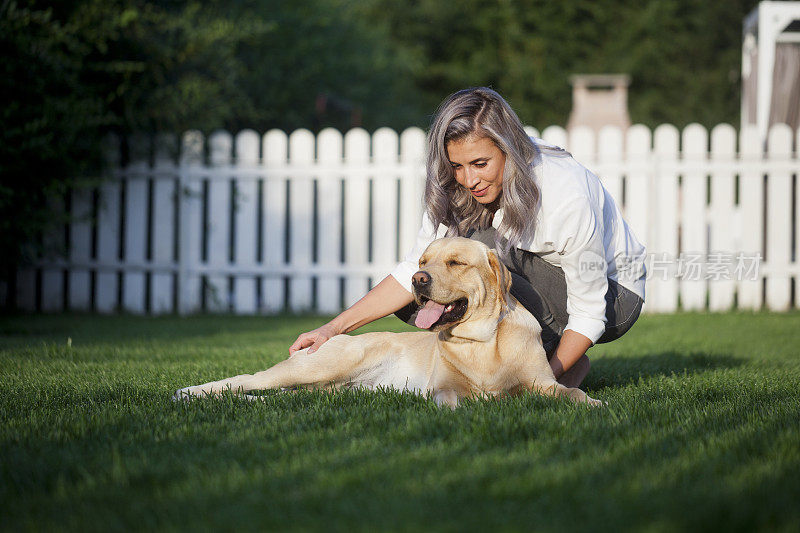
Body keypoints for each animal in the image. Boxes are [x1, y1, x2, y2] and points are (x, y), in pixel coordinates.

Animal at [173, 237, 600, 408]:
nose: (417, 279)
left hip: (326, 388)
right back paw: (190, 392)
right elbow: (458, 400)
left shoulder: (544, 383)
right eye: (423, 261)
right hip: (317, 366)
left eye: (455, 262)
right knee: (244, 380)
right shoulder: (444, 390)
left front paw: (595, 404)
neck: (482, 341)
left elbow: (571, 393)